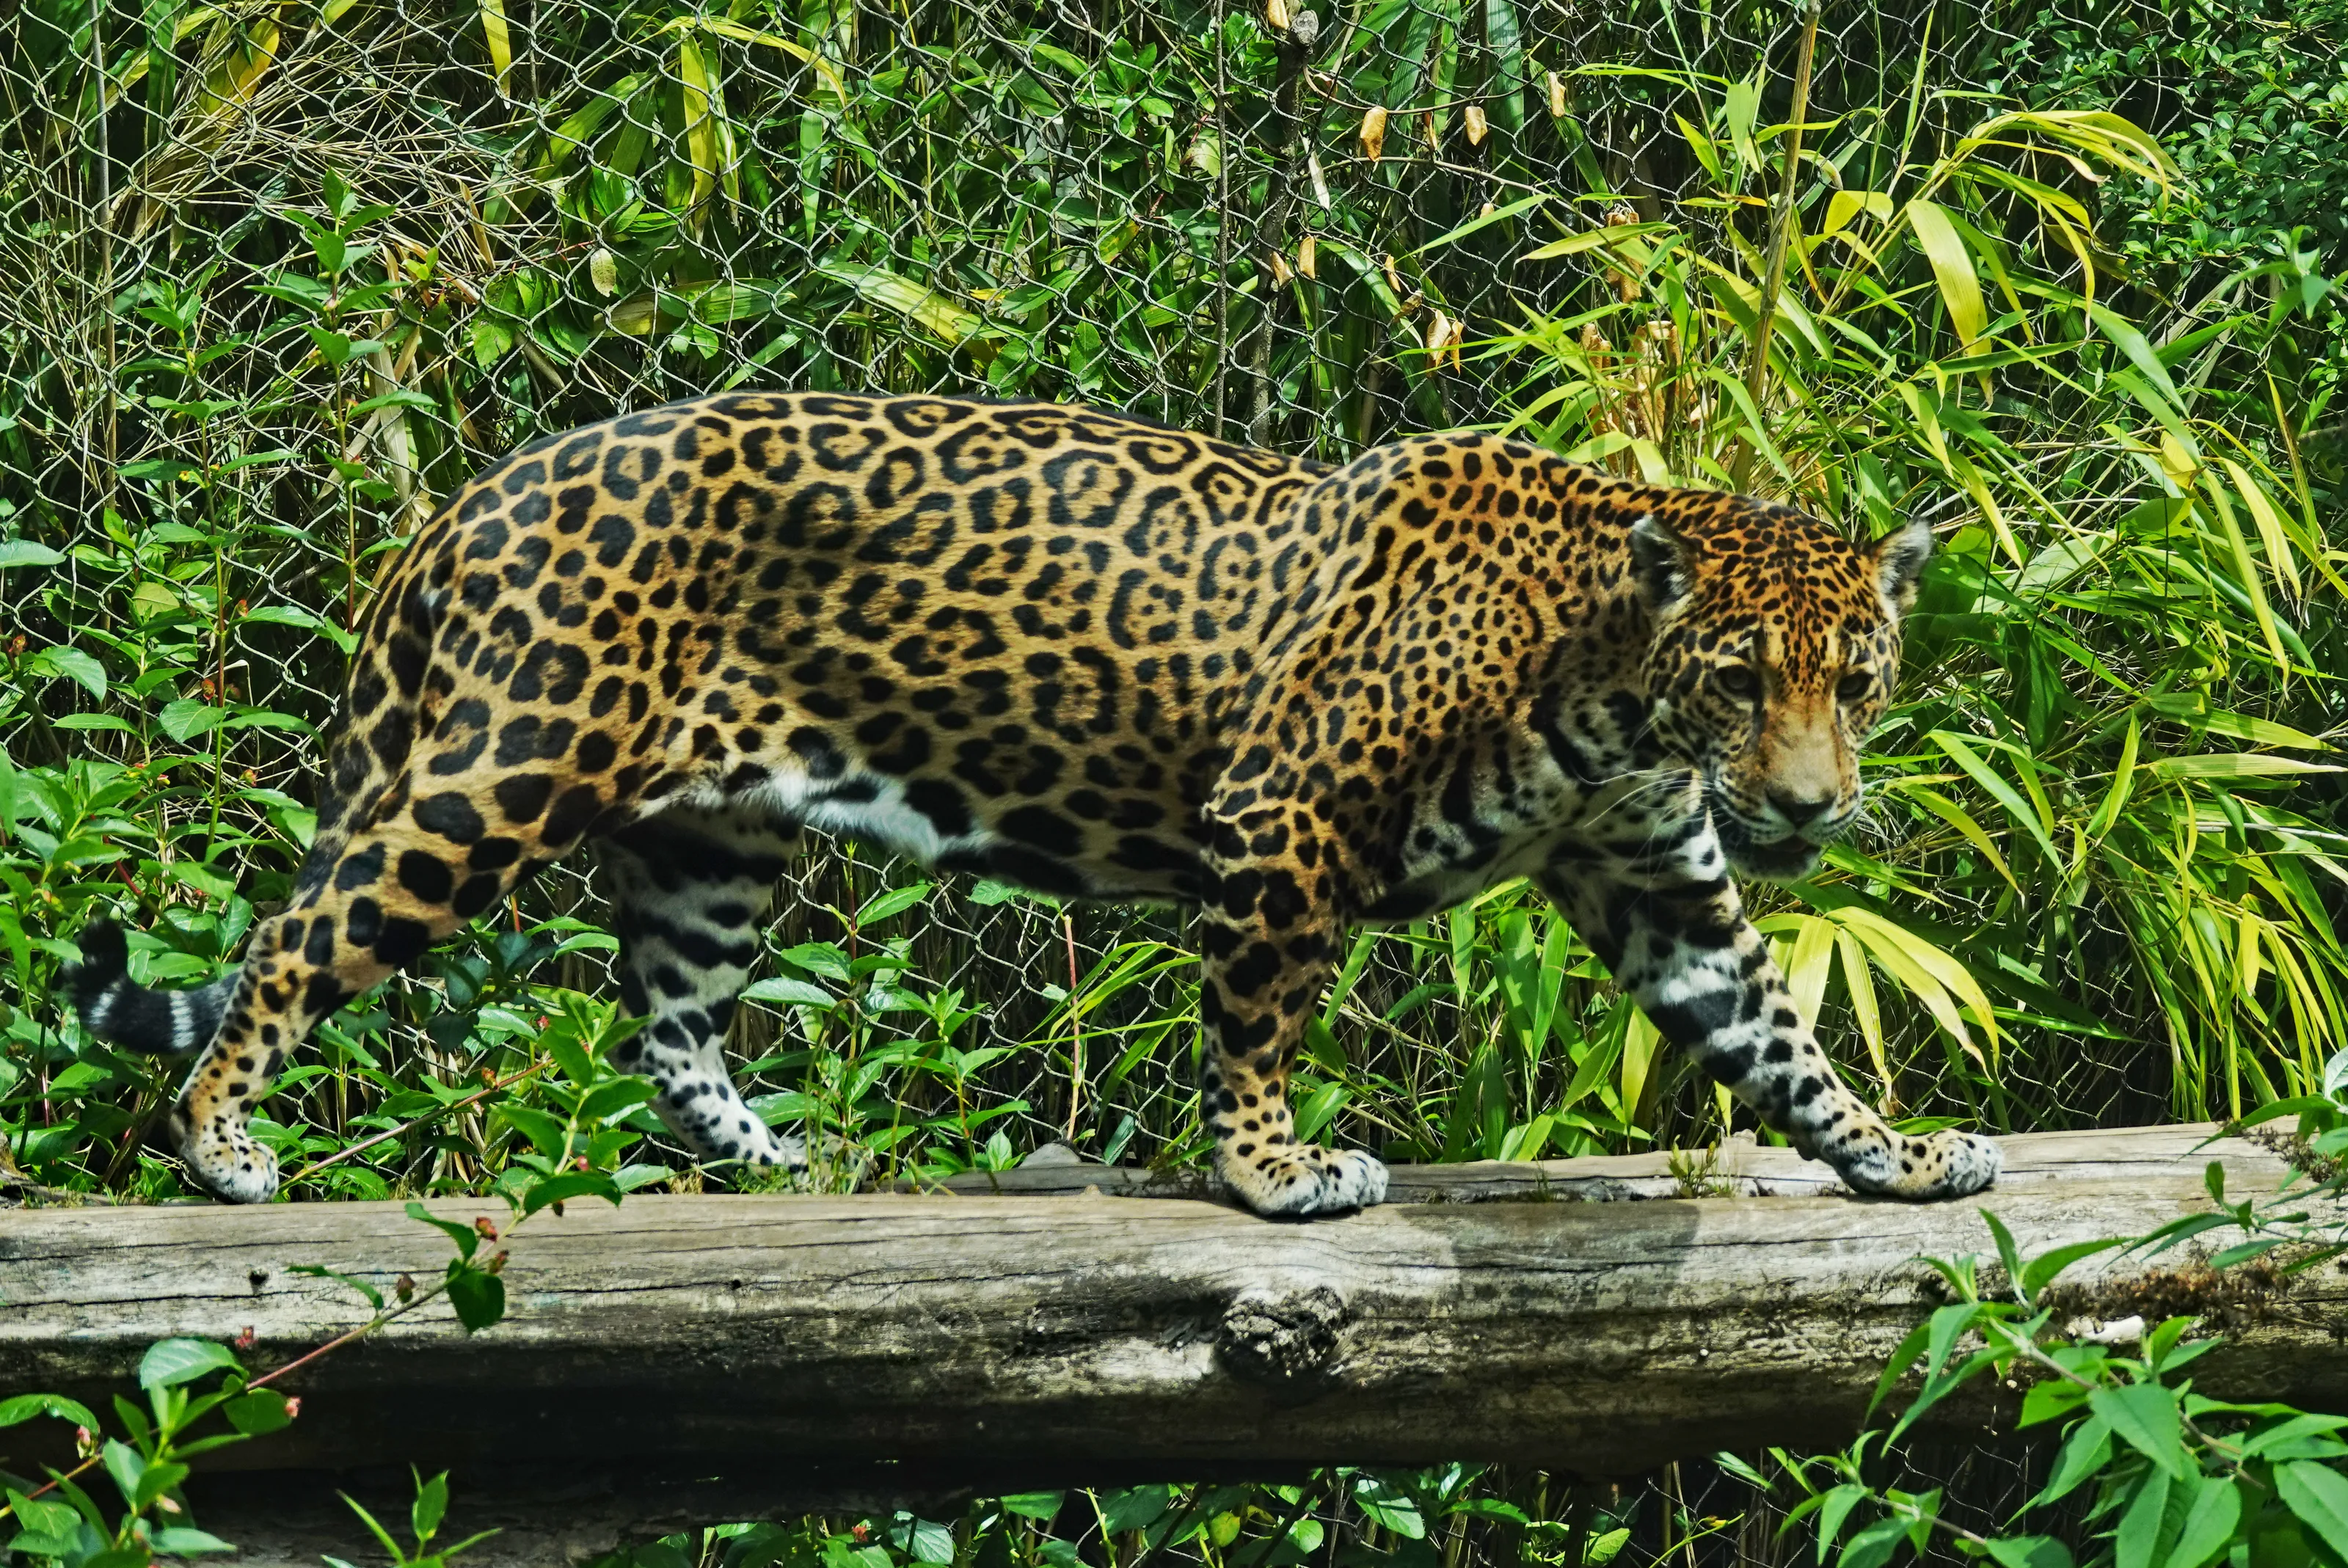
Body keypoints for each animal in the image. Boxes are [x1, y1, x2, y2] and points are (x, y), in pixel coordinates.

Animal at [68, 391, 2002, 1213]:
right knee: (289, 941)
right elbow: (1256, 1024)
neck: (1602, 689)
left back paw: (778, 1159)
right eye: (1742, 682)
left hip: (715, 839)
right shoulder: (1280, 821)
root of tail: (471, 495)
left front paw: (1897, 1155)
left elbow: (1776, 1033)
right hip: (494, 772)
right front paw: (1272, 1173)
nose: (1810, 808)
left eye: (1858, 680)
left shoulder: (1657, 877)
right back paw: (220, 1146)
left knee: (666, 1023)